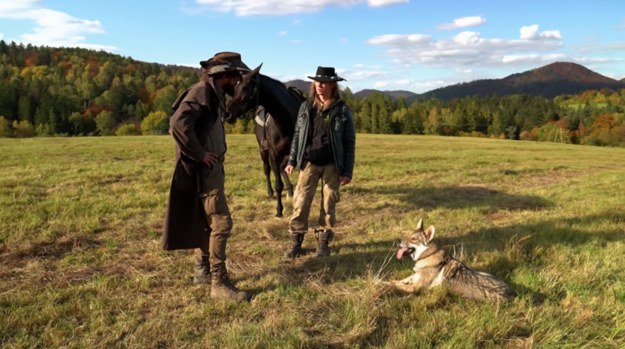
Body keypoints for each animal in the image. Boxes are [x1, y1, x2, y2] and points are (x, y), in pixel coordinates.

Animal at [227, 65, 304, 216]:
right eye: (234, 87)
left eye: (245, 87)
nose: (227, 114)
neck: (287, 120)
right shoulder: (274, 154)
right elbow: (278, 184)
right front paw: (279, 210)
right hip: (263, 151)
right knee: (268, 170)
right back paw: (271, 193)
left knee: (282, 168)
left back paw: (290, 190)